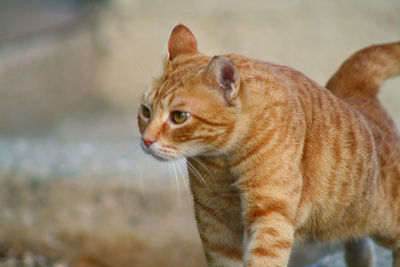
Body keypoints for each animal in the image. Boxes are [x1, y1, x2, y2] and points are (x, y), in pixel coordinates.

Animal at [138, 24, 400, 266]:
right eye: (145, 111)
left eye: (179, 117)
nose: (146, 140)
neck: (223, 161)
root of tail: (354, 91)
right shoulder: (214, 221)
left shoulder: (270, 216)